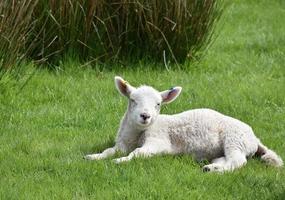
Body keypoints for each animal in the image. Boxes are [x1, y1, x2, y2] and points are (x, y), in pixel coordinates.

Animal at [84, 76, 282, 173]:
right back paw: (211, 168)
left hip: (235, 139)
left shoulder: (158, 141)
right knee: (225, 159)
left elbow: (137, 153)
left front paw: (120, 161)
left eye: (158, 104)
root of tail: (255, 139)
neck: (137, 134)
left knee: (238, 161)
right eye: (132, 100)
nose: (145, 116)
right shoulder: (122, 144)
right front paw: (93, 157)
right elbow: (108, 151)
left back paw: (217, 171)